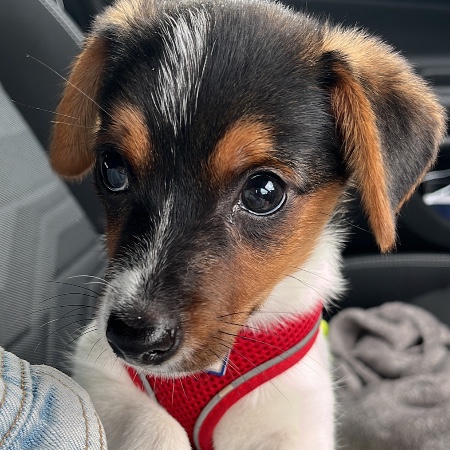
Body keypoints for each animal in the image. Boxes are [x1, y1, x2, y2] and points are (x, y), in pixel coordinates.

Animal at [49, 0, 446, 449]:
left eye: (263, 191)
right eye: (112, 168)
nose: (133, 337)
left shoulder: (299, 419)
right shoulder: (99, 371)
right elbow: (154, 425)